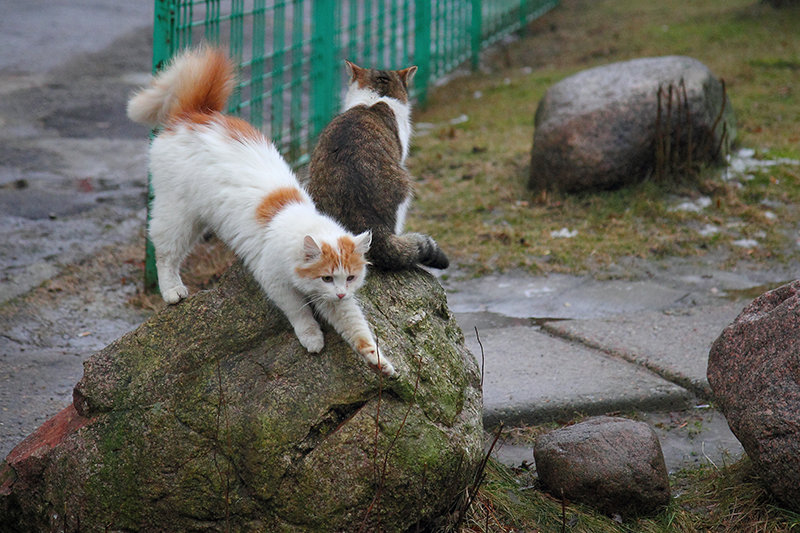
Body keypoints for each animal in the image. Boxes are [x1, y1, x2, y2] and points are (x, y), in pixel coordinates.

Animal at [126, 47, 396, 376]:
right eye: (327, 278)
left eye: (350, 278)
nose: (342, 292)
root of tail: (195, 115)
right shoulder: (275, 281)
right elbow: (298, 312)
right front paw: (311, 337)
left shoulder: (335, 302)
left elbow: (356, 328)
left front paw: (378, 360)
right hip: (180, 216)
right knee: (165, 253)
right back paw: (172, 291)